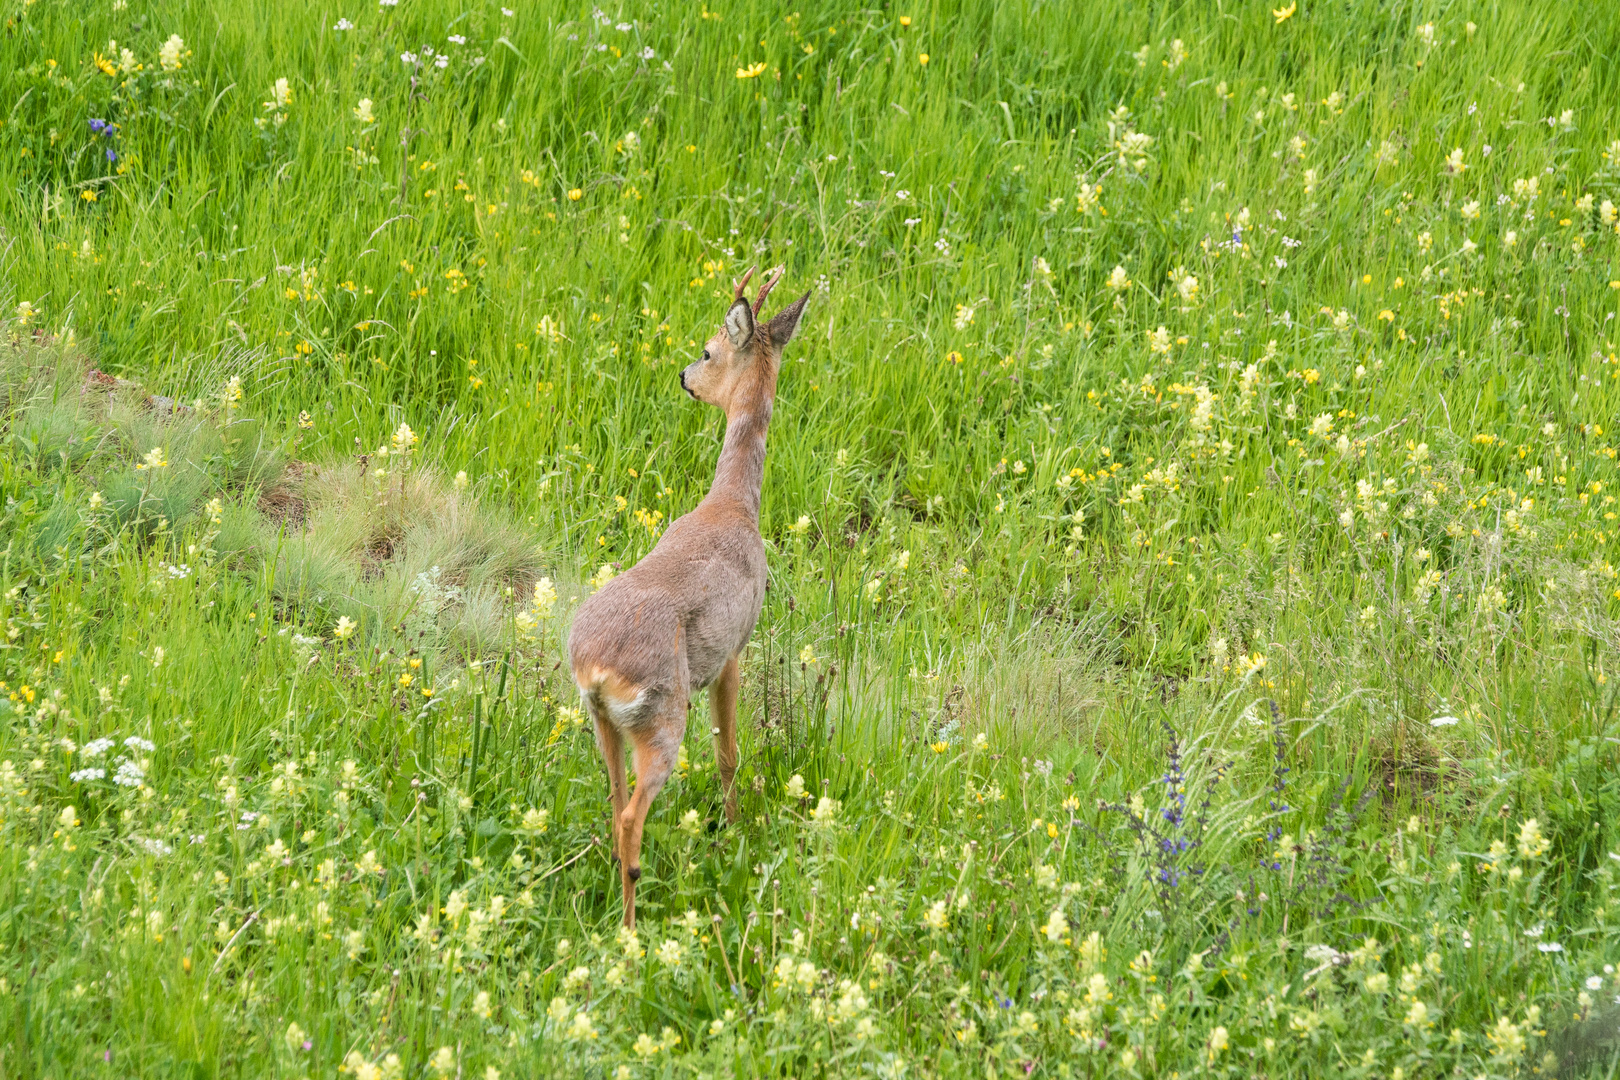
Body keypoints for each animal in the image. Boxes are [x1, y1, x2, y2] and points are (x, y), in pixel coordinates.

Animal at [570, 265, 810, 926]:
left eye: (705, 352)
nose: (683, 375)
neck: (733, 504)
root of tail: (593, 668)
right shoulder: (733, 649)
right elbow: (729, 753)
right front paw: (734, 829)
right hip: (662, 716)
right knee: (631, 815)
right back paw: (630, 925)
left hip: (604, 722)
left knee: (613, 797)